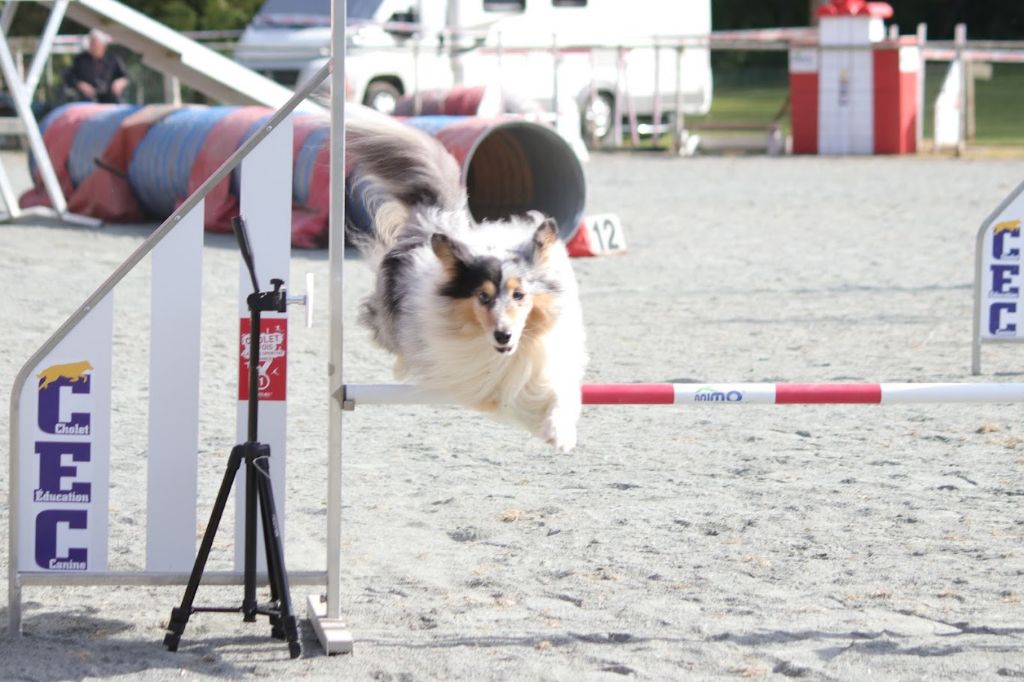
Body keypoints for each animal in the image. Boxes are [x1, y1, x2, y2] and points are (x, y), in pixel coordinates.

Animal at [346, 107, 589, 450]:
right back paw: (402, 366)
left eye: (520, 295)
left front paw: (560, 433)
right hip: (392, 316)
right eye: (482, 297)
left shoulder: (549, 356)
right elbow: (513, 395)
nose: (503, 336)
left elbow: (559, 392)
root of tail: (434, 218)